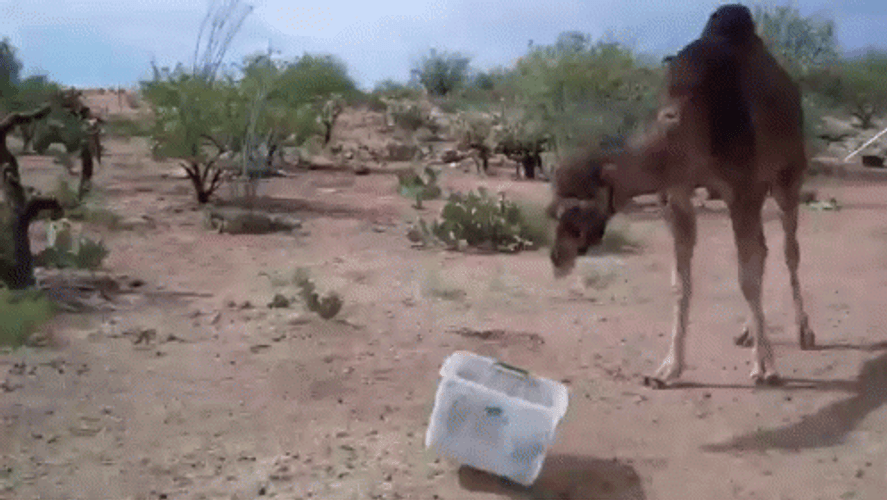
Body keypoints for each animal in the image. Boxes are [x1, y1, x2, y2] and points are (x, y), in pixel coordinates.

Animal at [546, 4, 815, 387]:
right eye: (552, 211)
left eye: (580, 211)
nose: (558, 258)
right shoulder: (676, 198)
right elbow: (681, 283)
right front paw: (667, 369)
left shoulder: (743, 190)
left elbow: (746, 277)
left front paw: (766, 368)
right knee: (762, 251)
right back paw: (747, 331)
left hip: (787, 176)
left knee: (790, 250)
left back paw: (804, 332)